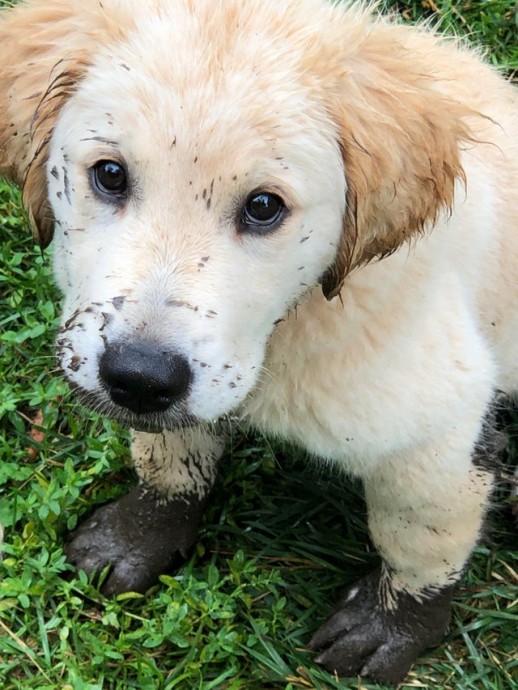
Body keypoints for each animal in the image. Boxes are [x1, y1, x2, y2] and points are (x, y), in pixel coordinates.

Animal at [1, 0, 518, 680]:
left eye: (265, 207)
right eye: (109, 175)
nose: (138, 377)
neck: (290, 326)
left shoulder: (437, 433)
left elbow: (421, 538)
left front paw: (393, 626)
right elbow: (169, 457)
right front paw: (138, 537)